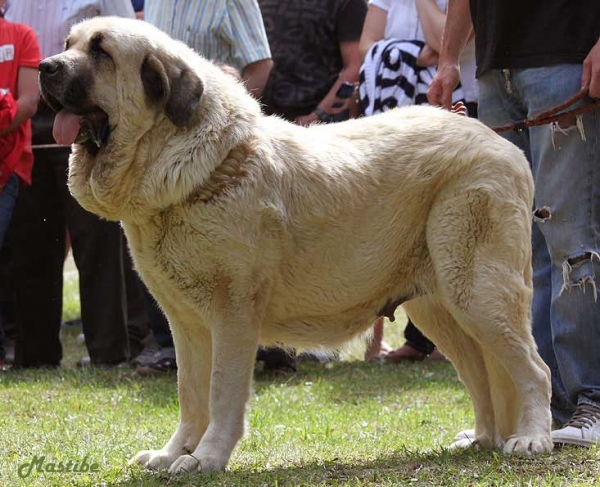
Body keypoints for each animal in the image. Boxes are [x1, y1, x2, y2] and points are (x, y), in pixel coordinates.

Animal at [38, 17, 552, 474]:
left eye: (101, 52)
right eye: (69, 44)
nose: (44, 67)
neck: (180, 162)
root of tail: (501, 144)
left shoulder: (232, 313)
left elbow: (221, 391)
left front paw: (205, 458)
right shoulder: (186, 322)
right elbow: (190, 393)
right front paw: (172, 454)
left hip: (478, 291)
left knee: (532, 368)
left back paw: (530, 439)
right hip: (440, 305)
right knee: (483, 373)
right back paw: (483, 439)